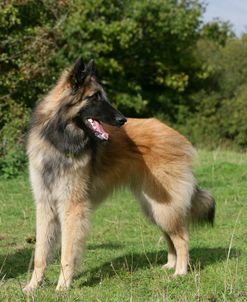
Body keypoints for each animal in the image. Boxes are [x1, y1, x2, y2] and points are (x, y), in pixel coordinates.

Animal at [24, 57, 215, 292]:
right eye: (94, 97)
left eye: (103, 96)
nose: (122, 119)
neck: (58, 139)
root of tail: (177, 136)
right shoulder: (45, 205)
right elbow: (40, 253)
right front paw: (33, 286)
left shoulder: (72, 208)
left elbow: (67, 253)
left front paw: (63, 287)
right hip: (153, 206)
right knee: (171, 236)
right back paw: (170, 265)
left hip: (164, 207)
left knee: (182, 237)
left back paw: (180, 271)